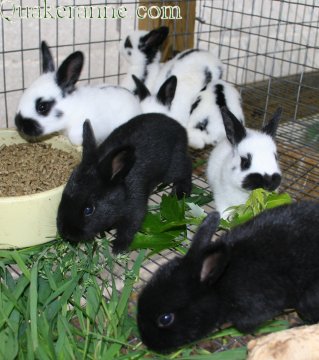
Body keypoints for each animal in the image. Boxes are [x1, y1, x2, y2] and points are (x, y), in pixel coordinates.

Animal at [57, 114, 192, 253]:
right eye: (63, 197)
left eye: (88, 210)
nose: (66, 232)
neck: (123, 191)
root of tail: (179, 128)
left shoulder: (135, 208)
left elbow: (129, 228)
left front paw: (118, 248)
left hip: (173, 168)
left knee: (186, 168)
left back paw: (180, 193)